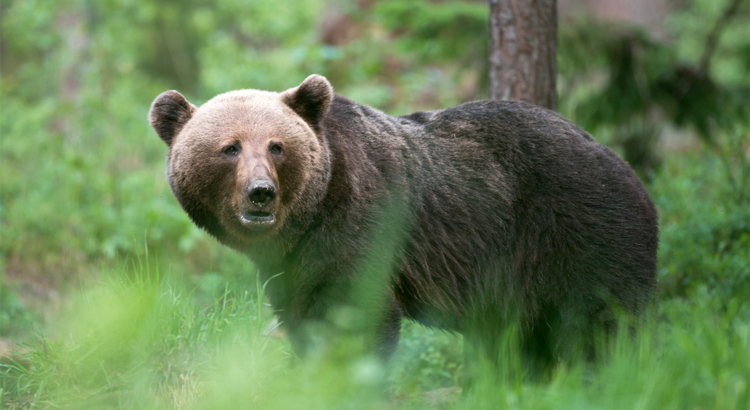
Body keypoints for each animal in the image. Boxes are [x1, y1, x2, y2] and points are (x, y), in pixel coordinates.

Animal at [150, 73, 660, 372]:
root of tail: (631, 173)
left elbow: (358, 316)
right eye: (230, 147)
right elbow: (303, 316)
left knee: (602, 326)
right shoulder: (292, 264)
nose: (261, 192)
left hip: (581, 235)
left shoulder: (363, 223)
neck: (308, 218)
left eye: (277, 146)